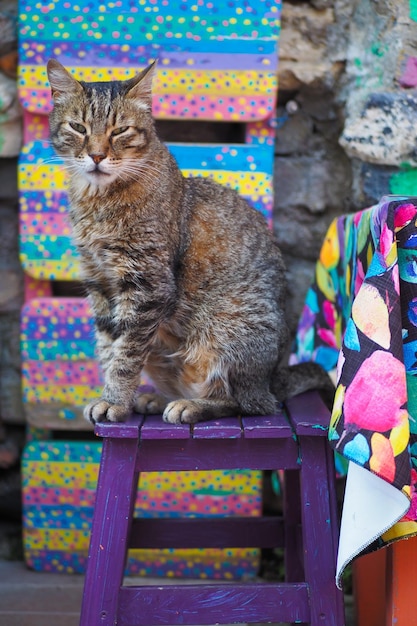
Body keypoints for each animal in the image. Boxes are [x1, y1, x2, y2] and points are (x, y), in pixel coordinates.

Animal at [46, 58, 332, 424]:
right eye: (78, 128)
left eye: (120, 131)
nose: (96, 155)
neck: (96, 200)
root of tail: (271, 379)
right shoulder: (98, 280)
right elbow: (110, 346)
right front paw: (115, 396)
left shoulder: (147, 284)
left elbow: (126, 354)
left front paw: (115, 400)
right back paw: (156, 398)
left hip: (226, 329)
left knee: (247, 403)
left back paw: (192, 405)